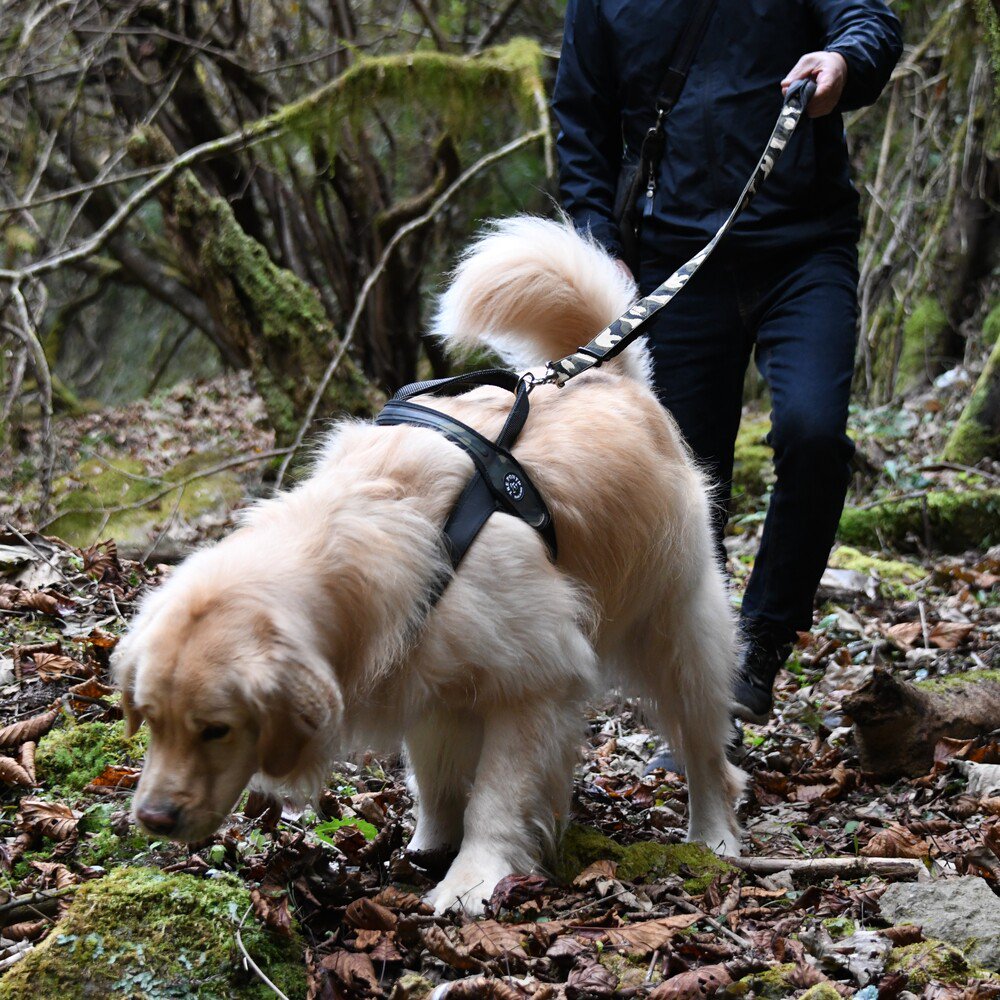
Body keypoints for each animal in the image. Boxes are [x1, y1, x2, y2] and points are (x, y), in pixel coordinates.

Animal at [115, 217, 744, 916]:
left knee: (707, 748)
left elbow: (499, 793)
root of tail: (616, 378)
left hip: (679, 630)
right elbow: (438, 780)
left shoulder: (537, 682)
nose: (151, 819)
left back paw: (714, 835)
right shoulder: (426, 680)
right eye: (150, 718)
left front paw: (473, 878)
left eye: (216, 730)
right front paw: (428, 846)